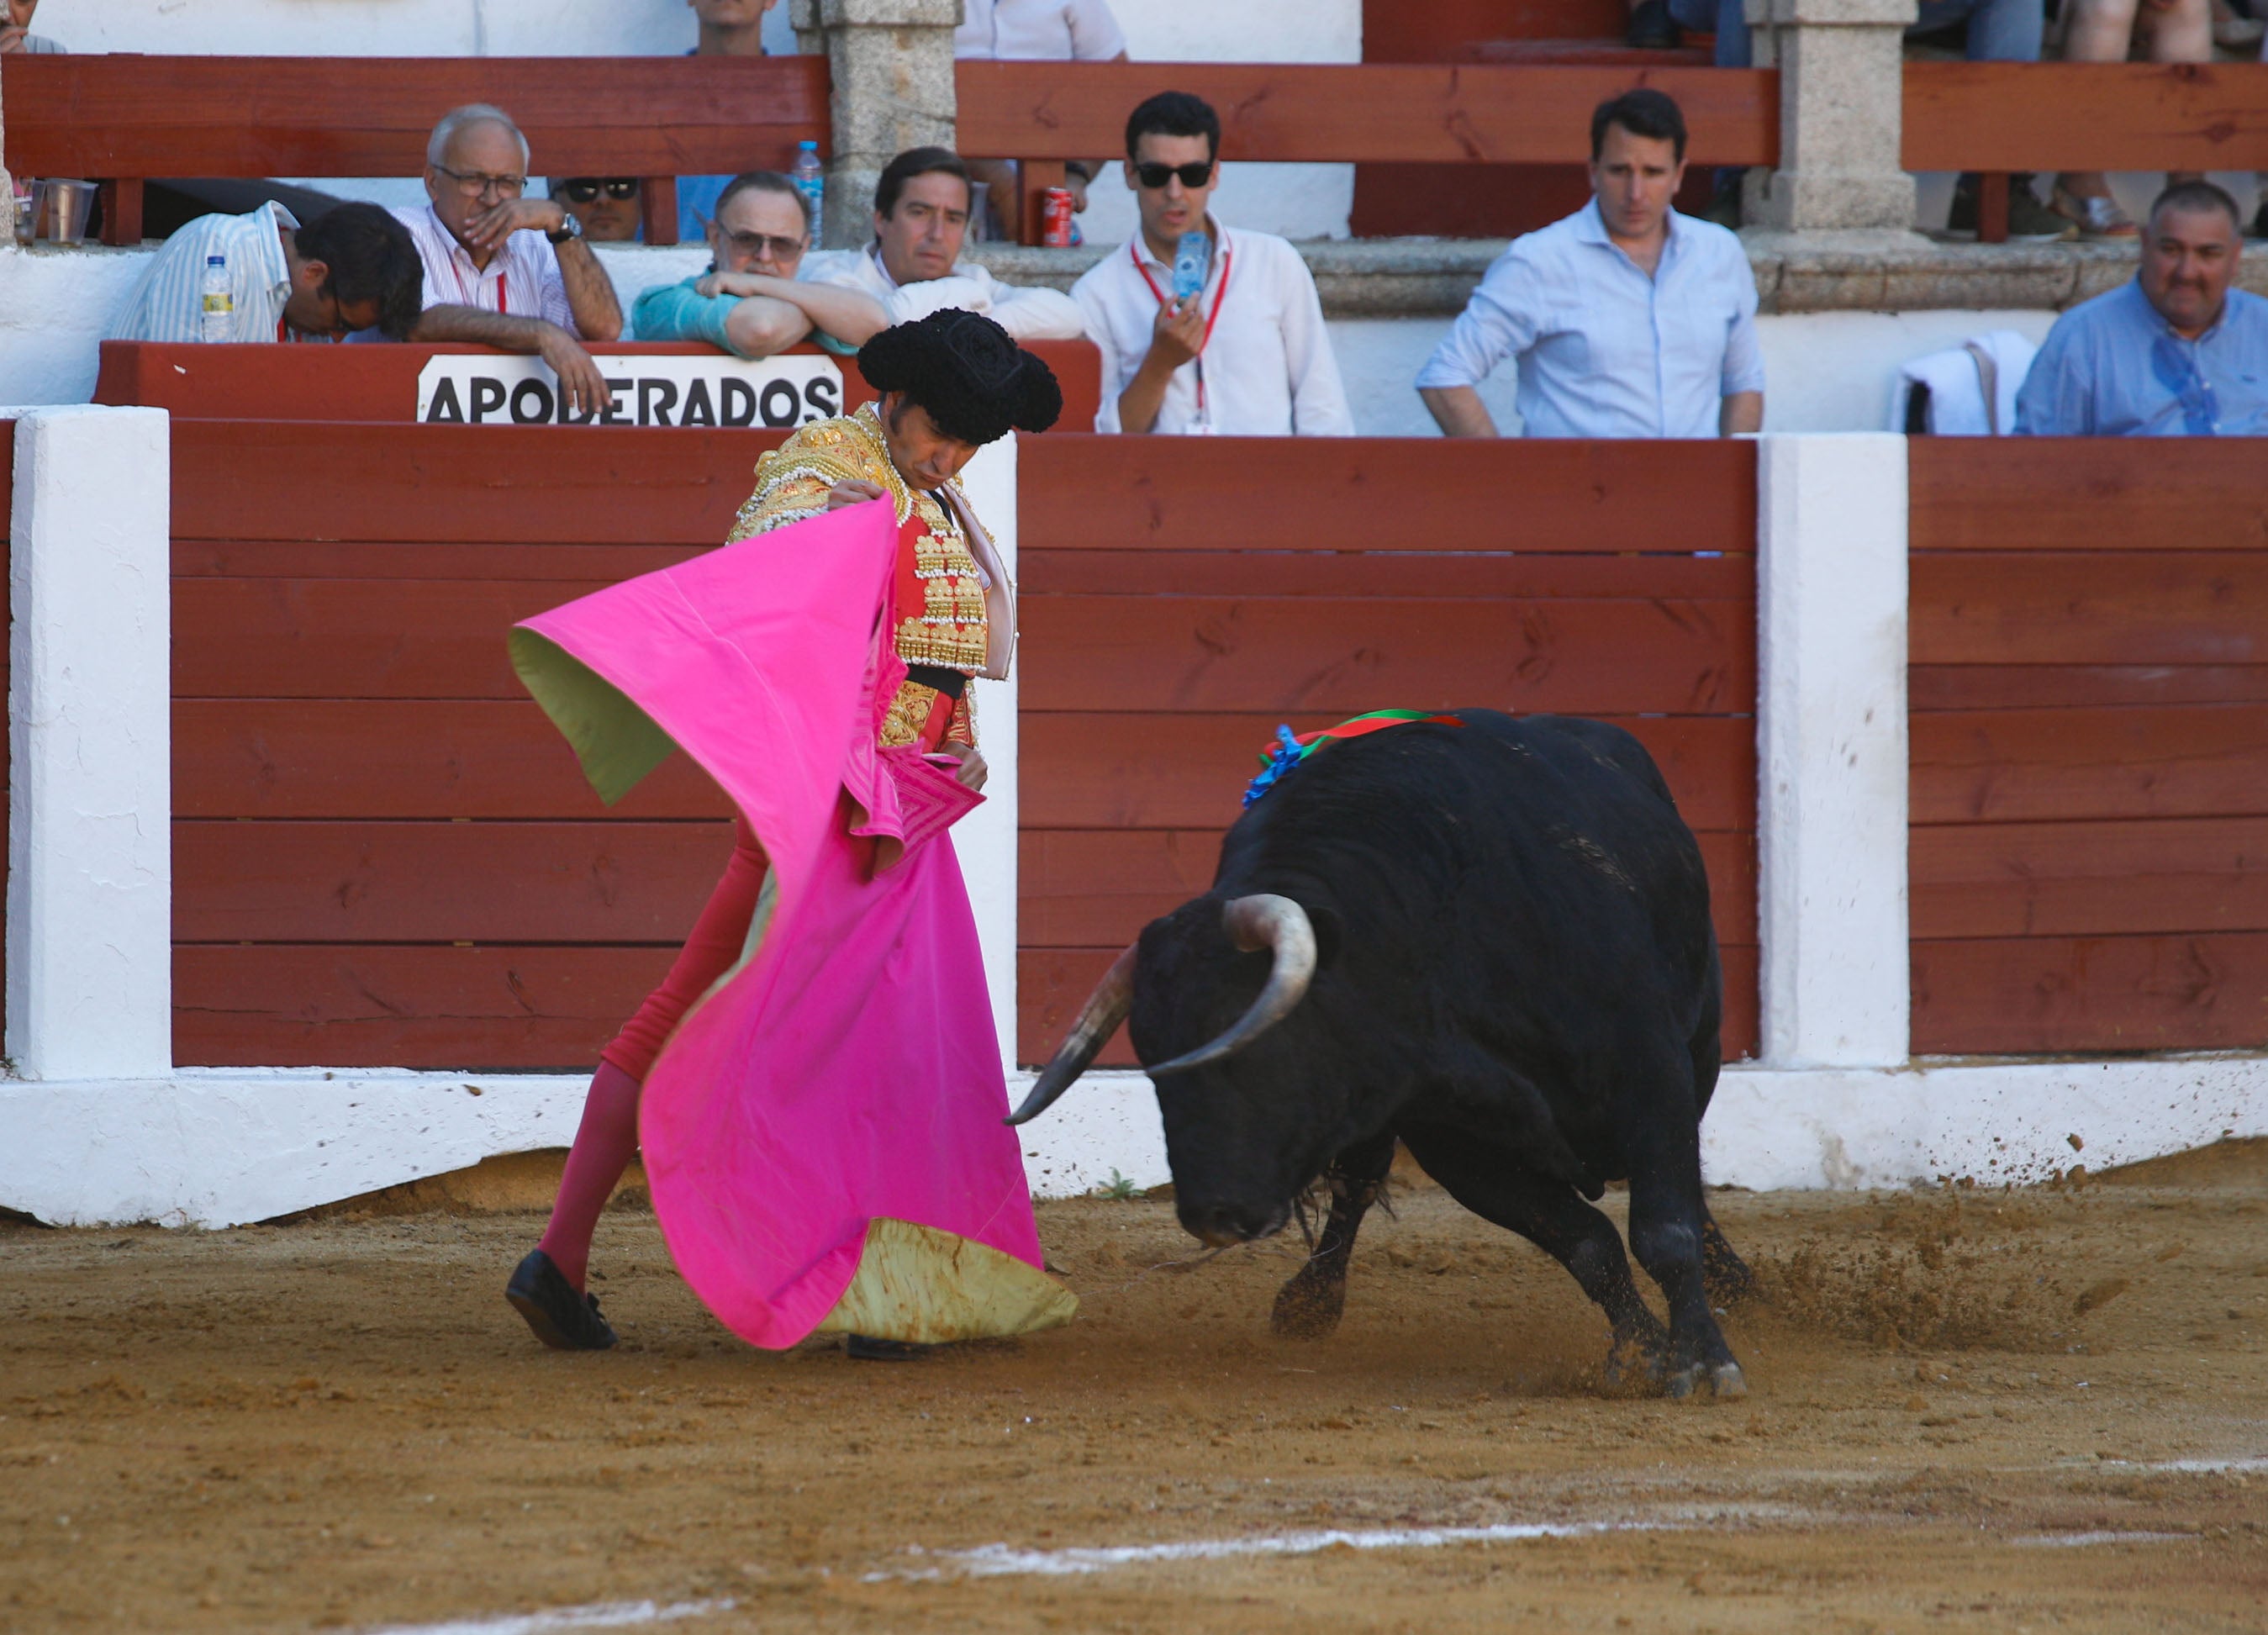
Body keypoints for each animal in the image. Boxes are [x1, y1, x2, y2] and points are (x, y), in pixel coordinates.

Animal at [1011, 707, 1750, 1396]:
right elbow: (1587, 1241)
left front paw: (1703, 1359)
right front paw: (1643, 1349)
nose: (1210, 1215)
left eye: (1250, 1042)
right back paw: (1309, 1302)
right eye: (1156, 1065)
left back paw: (1736, 1282)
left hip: (1703, 1044)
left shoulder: (1649, 1070)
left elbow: (1666, 1228)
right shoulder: (1457, 1141)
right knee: (1357, 1185)